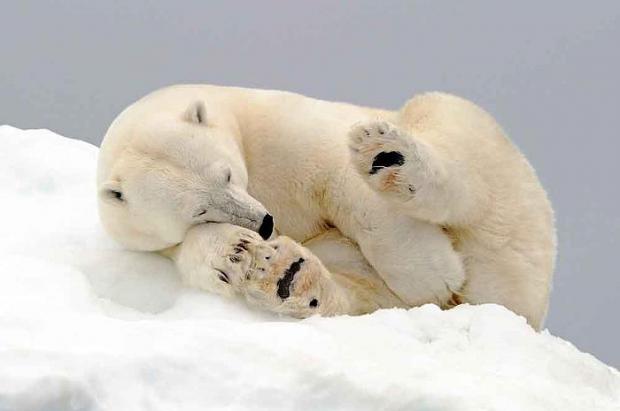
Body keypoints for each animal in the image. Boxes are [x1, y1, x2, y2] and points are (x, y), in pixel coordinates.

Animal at [98, 85, 556, 330]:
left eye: (225, 174)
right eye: (200, 210)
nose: (266, 223)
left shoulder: (281, 129)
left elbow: (342, 179)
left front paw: (432, 274)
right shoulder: (155, 243)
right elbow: (196, 254)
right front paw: (239, 254)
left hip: (503, 183)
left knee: (452, 139)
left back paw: (389, 156)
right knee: (357, 289)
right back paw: (287, 276)